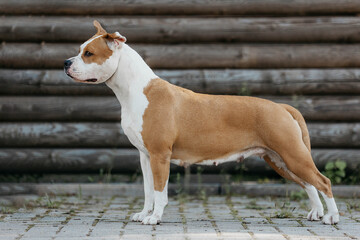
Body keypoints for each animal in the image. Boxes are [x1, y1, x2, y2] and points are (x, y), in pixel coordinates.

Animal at [63, 20, 338, 225]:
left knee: (323, 181)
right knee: (308, 183)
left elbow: (160, 191)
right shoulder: (145, 156)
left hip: (292, 155)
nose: (66, 63)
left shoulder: (160, 155)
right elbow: (148, 191)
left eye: (88, 53)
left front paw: (155, 218)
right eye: (79, 50)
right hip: (280, 160)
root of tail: (281, 106)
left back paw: (332, 217)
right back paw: (316, 213)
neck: (134, 89)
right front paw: (144, 214)